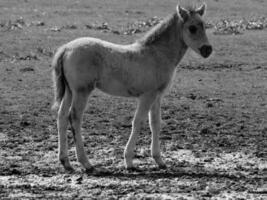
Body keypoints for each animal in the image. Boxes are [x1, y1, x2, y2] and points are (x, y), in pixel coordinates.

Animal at [52, 3, 214, 172]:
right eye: (192, 28)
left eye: (204, 25)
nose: (207, 49)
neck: (157, 54)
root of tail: (66, 48)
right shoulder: (147, 96)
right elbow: (138, 122)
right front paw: (129, 161)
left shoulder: (157, 96)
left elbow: (155, 123)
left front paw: (159, 160)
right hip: (81, 91)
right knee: (74, 118)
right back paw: (86, 163)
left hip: (70, 91)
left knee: (61, 117)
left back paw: (65, 162)